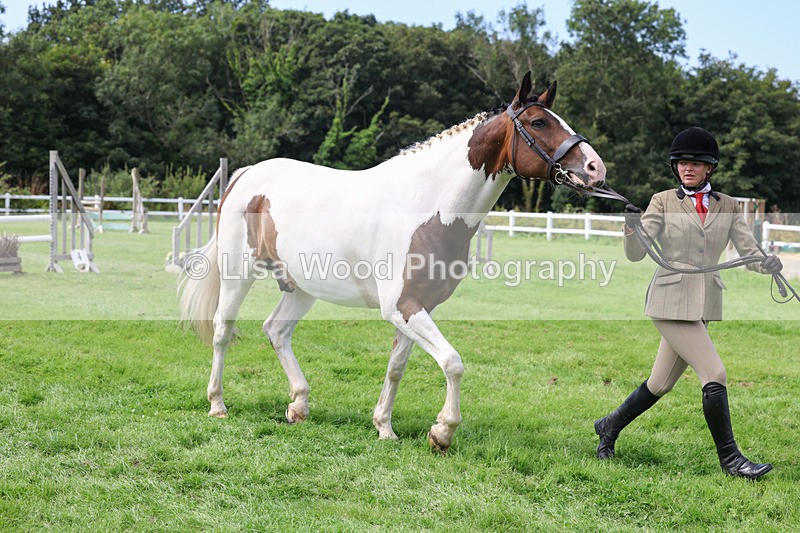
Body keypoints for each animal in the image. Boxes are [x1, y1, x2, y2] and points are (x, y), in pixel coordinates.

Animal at [180, 72, 607, 452]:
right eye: (539, 122)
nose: (595, 168)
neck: (429, 206)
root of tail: (247, 174)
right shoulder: (402, 306)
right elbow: (452, 362)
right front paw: (442, 432)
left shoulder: (418, 307)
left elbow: (397, 367)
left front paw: (384, 427)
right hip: (238, 275)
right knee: (222, 331)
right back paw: (217, 404)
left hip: (302, 287)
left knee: (276, 331)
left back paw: (299, 404)